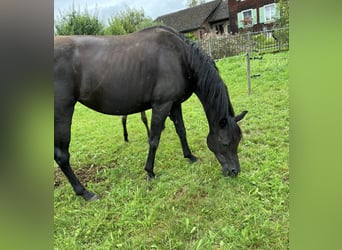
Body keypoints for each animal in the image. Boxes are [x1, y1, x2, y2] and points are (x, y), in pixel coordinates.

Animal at [53, 25, 247, 201]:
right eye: (225, 143)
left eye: (238, 141)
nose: (234, 171)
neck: (180, 57)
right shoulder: (162, 105)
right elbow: (154, 139)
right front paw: (150, 172)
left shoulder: (174, 104)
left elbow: (181, 131)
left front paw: (190, 156)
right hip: (62, 113)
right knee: (62, 156)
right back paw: (84, 192)